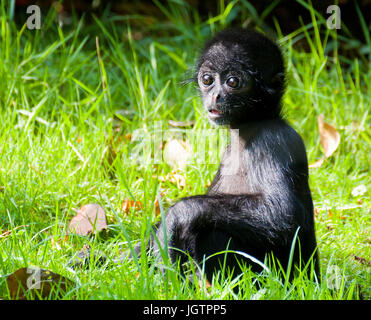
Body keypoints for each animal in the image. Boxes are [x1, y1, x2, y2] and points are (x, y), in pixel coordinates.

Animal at [142, 27, 320, 282]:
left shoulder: (272, 140)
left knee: (211, 230)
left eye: (233, 82)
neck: (253, 127)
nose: (215, 96)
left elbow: (284, 214)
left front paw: (176, 216)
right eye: (207, 80)